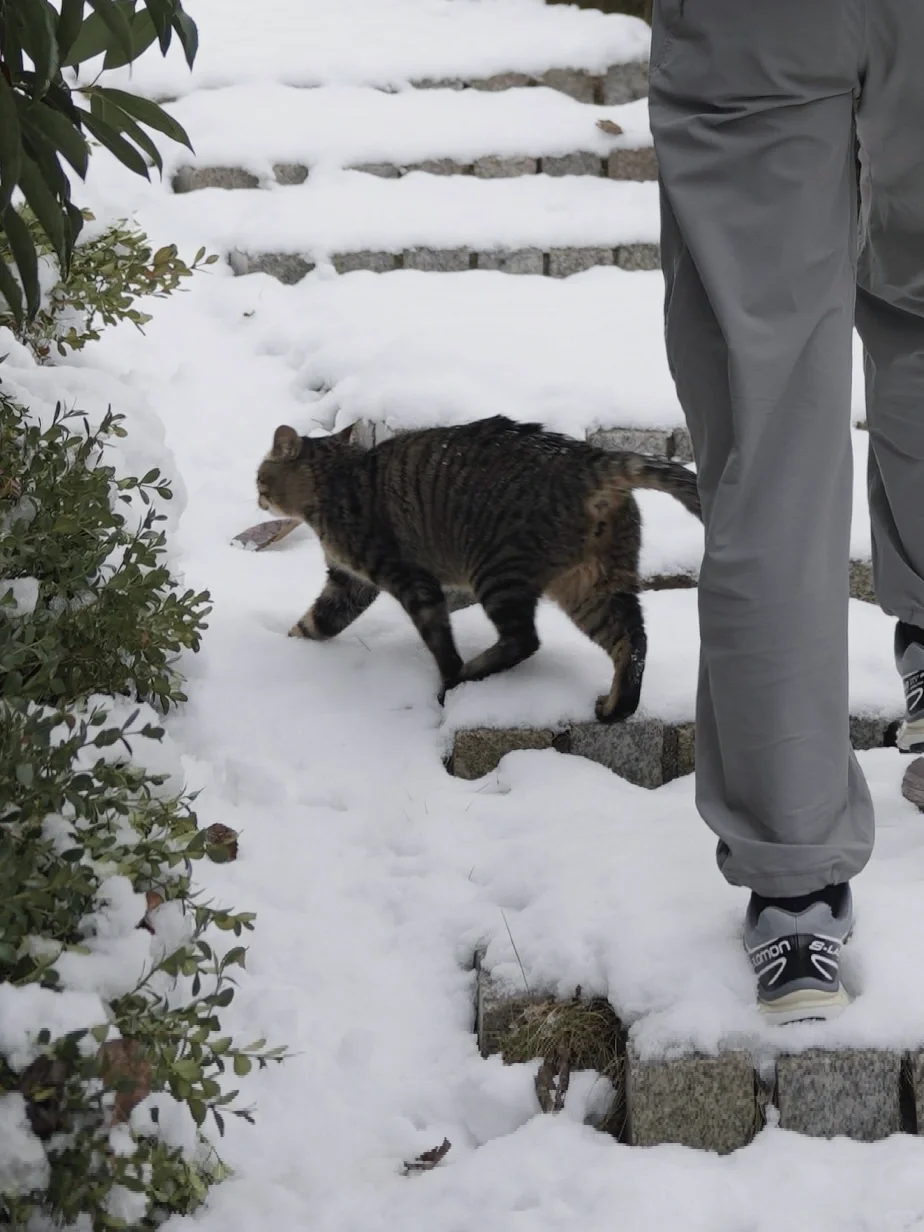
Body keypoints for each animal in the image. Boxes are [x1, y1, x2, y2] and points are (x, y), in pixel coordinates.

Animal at [253, 416, 699, 719]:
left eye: (260, 476)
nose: (258, 497)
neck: (336, 478)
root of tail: (591, 460)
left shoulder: (408, 578)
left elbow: (438, 638)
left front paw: (450, 676)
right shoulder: (348, 584)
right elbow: (316, 623)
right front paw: (289, 645)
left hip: (498, 573)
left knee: (524, 640)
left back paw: (468, 675)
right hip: (594, 586)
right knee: (632, 640)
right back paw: (616, 707)